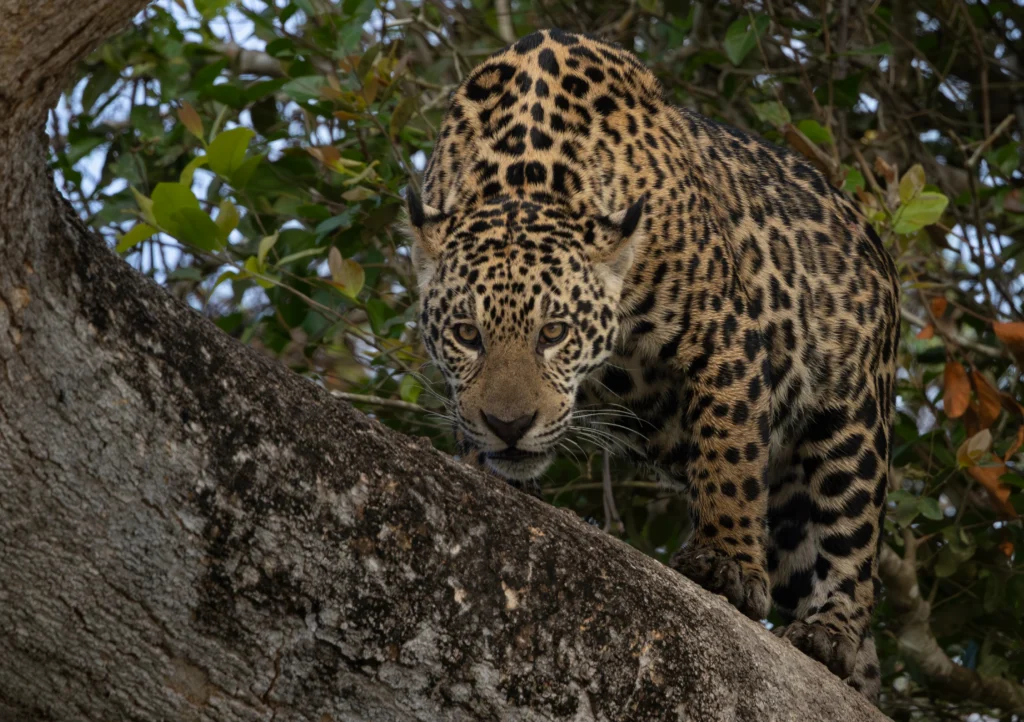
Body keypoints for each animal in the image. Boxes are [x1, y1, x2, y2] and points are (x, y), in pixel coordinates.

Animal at [404, 28, 899, 702]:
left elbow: (730, 456)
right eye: (466, 334)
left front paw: (726, 563)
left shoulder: (724, 335)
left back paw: (832, 633)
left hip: (851, 420)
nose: (509, 427)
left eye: (554, 333)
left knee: (851, 537)